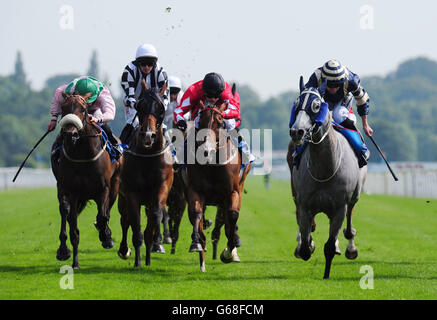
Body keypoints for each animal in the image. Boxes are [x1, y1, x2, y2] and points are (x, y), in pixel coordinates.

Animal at [52, 93, 122, 270]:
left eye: (83, 109)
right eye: (63, 108)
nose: (70, 134)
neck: (83, 154)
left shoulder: (103, 189)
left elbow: (103, 216)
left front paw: (106, 237)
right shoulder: (72, 191)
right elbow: (74, 229)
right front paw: (74, 262)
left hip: (114, 186)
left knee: (106, 212)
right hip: (62, 187)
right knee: (65, 212)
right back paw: (63, 250)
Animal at [116, 80, 173, 268]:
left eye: (161, 107)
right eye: (139, 105)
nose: (148, 135)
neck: (148, 157)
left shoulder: (161, 189)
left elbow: (155, 216)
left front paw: (149, 256)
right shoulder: (131, 193)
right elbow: (134, 224)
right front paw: (138, 262)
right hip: (121, 197)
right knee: (124, 219)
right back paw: (123, 250)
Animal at [185, 99, 252, 272]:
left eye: (220, 122)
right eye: (200, 122)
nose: (206, 150)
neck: (212, 164)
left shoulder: (232, 192)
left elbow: (232, 218)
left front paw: (229, 251)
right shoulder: (195, 192)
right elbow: (196, 215)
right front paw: (197, 244)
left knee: (229, 221)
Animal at [288, 76, 366, 278]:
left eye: (316, 105)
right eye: (296, 103)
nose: (297, 131)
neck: (324, 169)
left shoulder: (339, 207)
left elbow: (330, 246)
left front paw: (326, 274)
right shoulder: (305, 204)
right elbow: (306, 245)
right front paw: (306, 246)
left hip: (355, 196)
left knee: (349, 222)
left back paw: (350, 247)